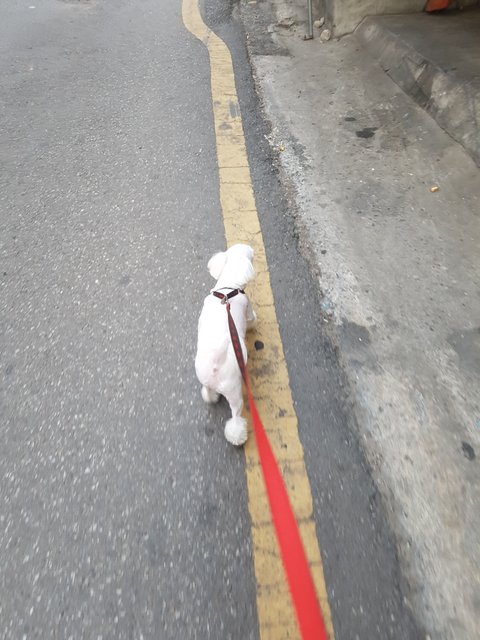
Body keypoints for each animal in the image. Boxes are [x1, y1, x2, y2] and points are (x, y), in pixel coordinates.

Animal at [195, 244, 257, 445]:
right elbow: (252, 318)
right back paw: (238, 436)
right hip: (235, 392)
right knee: (236, 415)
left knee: (207, 392)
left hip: (205, 378)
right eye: (252, 256)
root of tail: (217, 363)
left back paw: (212, 396)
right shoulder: (248, 306)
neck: (228, 287)